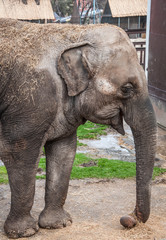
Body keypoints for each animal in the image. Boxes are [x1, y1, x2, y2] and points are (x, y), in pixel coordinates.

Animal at [0, 18, 157, 238]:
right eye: (127, 88)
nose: (129, 218)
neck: (76, 33)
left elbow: (64, 152)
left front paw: (58, 224)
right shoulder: (30, 101)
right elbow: (19, 153)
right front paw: (24, 232)